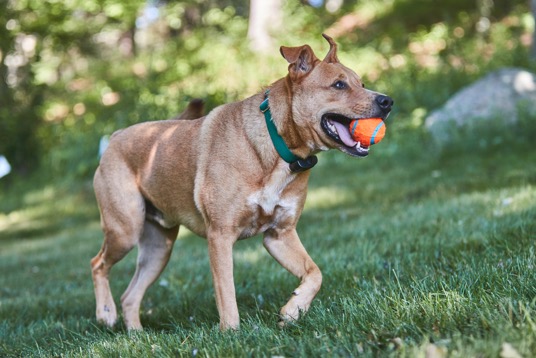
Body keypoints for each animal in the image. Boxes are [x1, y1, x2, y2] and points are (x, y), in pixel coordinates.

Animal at [91, 33, 394, 330]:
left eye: (362, 83)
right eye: (339, 85)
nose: (387, 101)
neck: (277, 148)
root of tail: (115, 136)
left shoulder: (280, 235)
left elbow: (315, 273)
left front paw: (293, 310)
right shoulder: (220, 236)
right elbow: (227, 294)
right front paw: (231, 334)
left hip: (158, 248)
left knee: (130, 296)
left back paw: (136, 335)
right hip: (125, 230)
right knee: (98, 264)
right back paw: (106, 314)